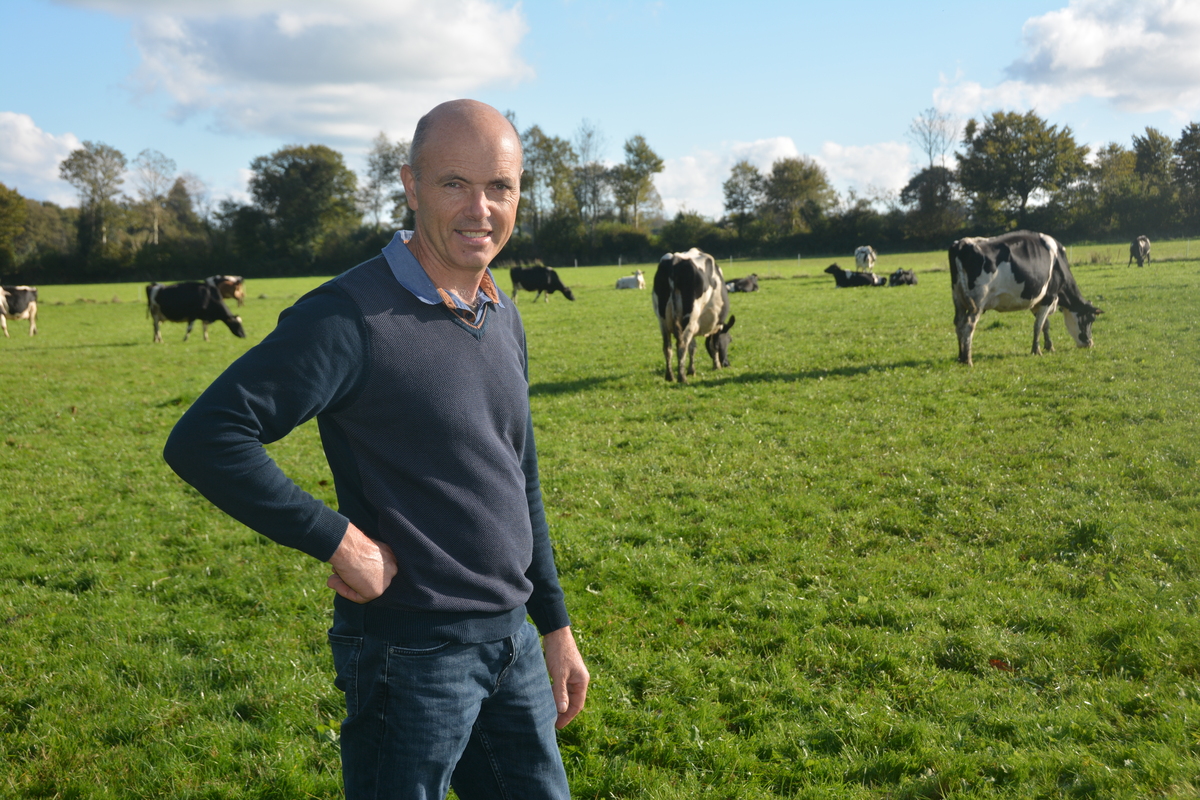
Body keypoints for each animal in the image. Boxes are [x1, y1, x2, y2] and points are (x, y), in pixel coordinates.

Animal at [652, 245, 734, 383]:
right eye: (729, 340)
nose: (726, 364)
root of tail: (675, 259)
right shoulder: (717, 325)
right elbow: (714, 345)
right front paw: (716, 366)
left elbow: (693, 347)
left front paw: (691, 370)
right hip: (690, 316)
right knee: (681, 345)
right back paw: (682, 377)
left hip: (662, 320)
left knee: (667, 347)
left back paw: (670, 376)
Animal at [945, 227, 1104, 367]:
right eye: (1090, 319)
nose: (1089, 343)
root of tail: (962, 243)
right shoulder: (1049, 297)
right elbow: (1038, 325)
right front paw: (1037, 350)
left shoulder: (1036, 301)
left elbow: (1045, 324)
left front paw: (1049, 346)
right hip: (977, 302)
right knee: (968, 325)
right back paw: (968, 360)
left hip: (958, 299)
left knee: (959, 323)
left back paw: (960, 357)